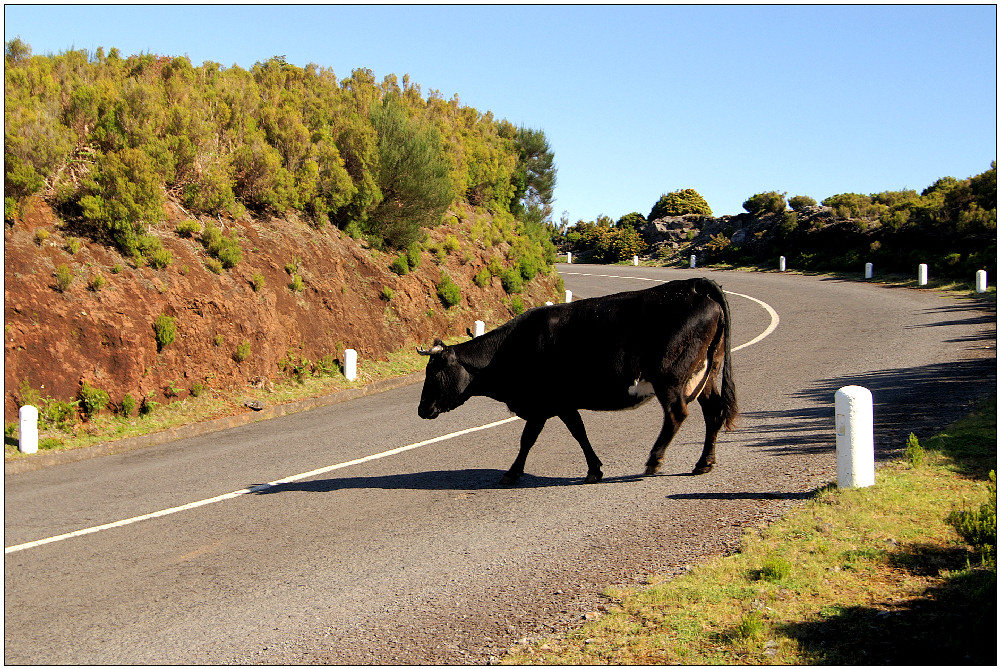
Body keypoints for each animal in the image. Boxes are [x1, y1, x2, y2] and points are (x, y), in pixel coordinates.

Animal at [414, 278, 736, 486]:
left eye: (435, 372)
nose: (421, 409)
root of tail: (694, 285)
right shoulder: (558, 404)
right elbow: (575, 433)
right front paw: (594, 469)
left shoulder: (546, 403)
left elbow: (531, 439)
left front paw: (512, 473)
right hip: (705, 374)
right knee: (714, 411)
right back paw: (704, 463)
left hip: (669, 377)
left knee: (676, 414)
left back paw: (654, 460)